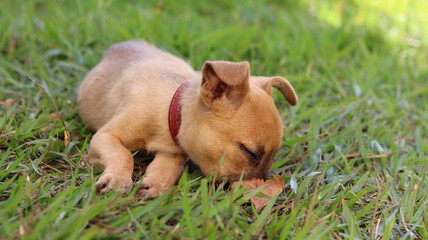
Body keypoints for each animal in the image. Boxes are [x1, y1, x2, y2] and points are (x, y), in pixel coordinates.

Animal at [77, 39, 298, 197]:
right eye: (250, 152)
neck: (170, 107)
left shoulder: (172, 153)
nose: (264, 189)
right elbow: (122, 154)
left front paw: (155, 184)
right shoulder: (105, 136)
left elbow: (168, 170)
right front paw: (117, 179)